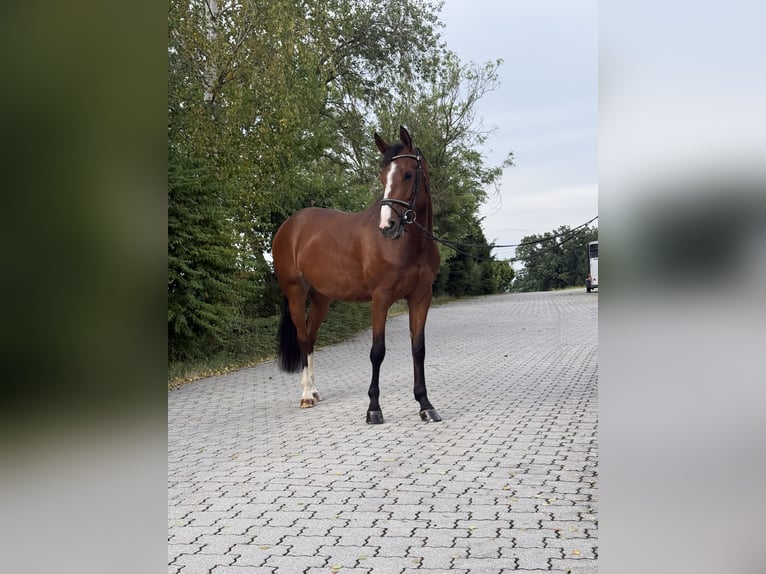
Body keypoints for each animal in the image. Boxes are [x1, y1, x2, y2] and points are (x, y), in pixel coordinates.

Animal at [271, 126, 441, 424]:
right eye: (383, 177)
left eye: (408, 174)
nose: (388, 226)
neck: (406, 247)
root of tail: (289, 226)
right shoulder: (380, 298)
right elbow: (377, 352)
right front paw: (373, 409)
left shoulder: (421, 297)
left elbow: (418, 349)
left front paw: (425, 405)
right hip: (295, 293)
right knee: (303, 338)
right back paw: (305, 395)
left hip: (321, 298)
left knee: (311, 338)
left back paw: (314, 391)